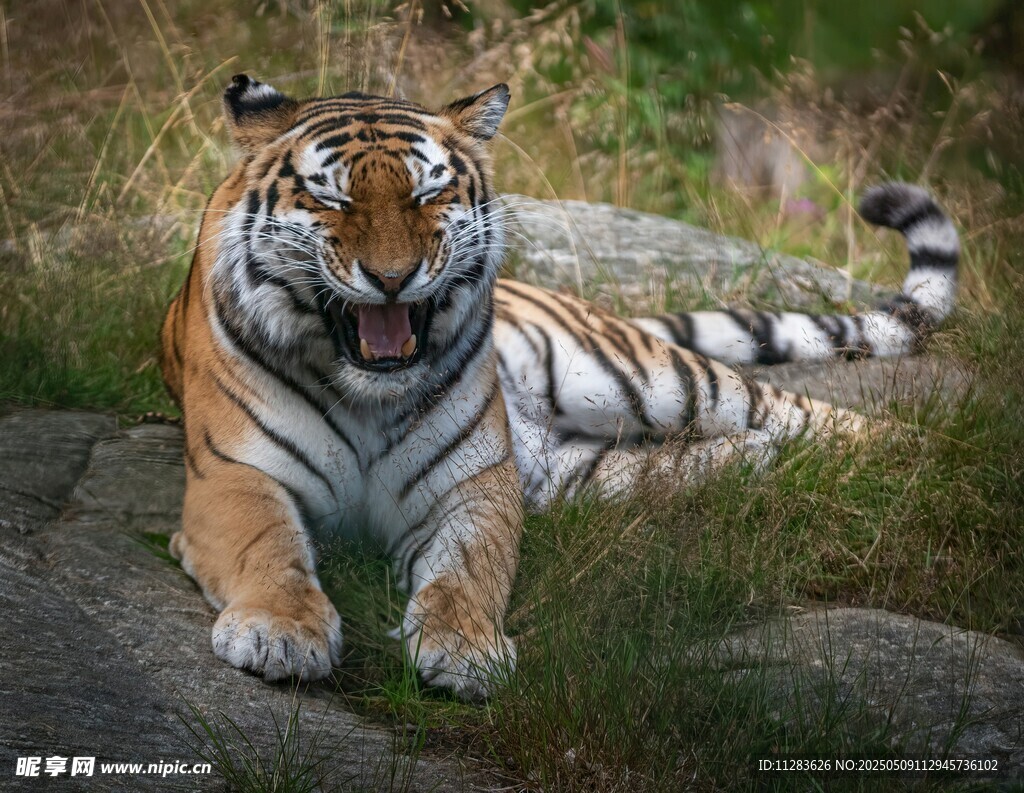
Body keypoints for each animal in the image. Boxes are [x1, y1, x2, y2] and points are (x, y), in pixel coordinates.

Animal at [160, 74, 959, 701]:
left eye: (428, 191)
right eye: (331, 199)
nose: (392, 278)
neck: (367, 389)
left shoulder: (473, 486)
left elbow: (467, 572)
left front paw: (466, 649)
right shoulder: (235, 475)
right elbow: (268, 549)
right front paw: (281, 632)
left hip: (644, 379)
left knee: (802, 411)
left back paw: (922, 462)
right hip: (585, 473)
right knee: (718, 451)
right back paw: (757, 463)